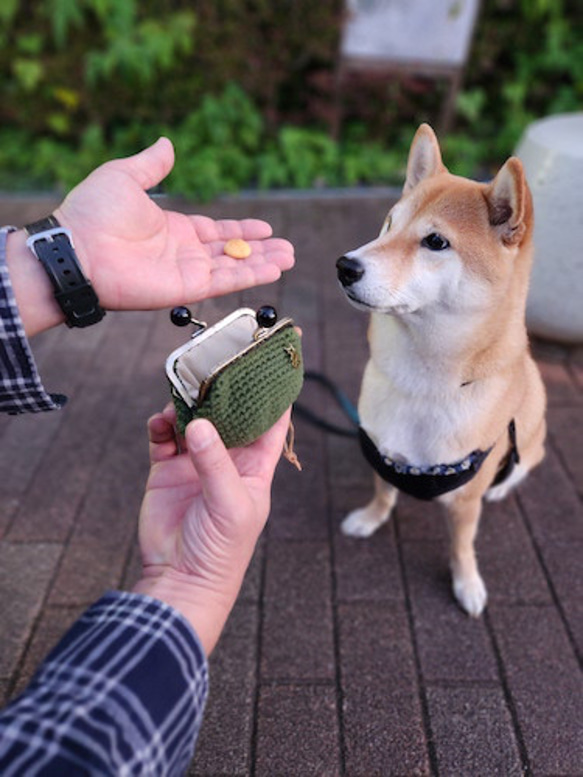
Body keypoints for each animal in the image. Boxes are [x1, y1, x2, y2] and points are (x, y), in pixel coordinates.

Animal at [338, 124, 548, 616]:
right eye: (389, 223)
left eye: (436, 242)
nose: (345, 266)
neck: (421, 384)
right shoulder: (383, 453)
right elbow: (383, 492)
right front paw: (370, 519)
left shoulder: (465, 501)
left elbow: (461, 544)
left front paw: (466, 582)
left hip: (533, 432)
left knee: (525, 464)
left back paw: (503, 485)